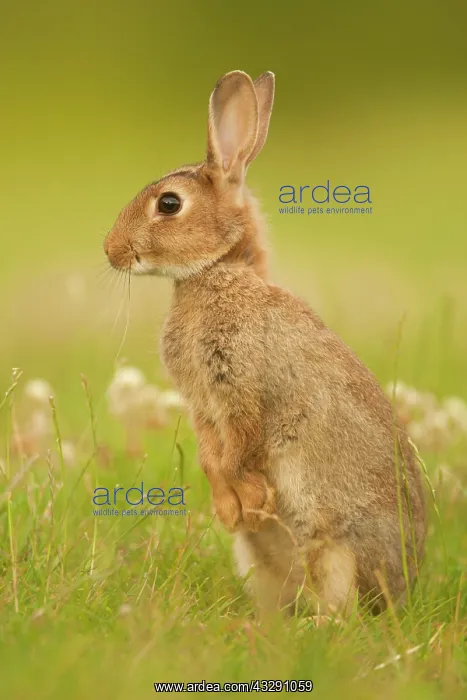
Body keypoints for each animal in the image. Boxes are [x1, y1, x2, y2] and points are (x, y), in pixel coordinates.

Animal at [103, 70, 427, 616]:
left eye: (169, 203)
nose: (110, 251)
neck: (218, 272)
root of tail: (403, 588)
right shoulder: (203, 405)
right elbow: (212, 457)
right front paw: (231, 507)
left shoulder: (244, 388)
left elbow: (240, 447)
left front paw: (249, 500)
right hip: (259, 558)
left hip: (334, 546)